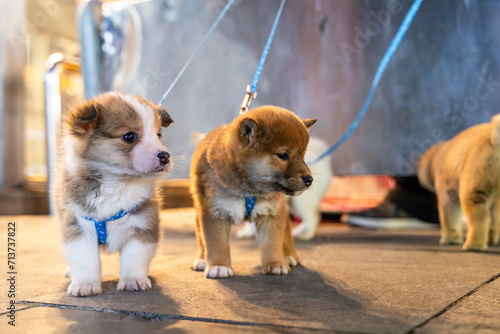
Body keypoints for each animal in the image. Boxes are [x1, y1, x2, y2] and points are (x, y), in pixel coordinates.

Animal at [54, 92, 174, 296]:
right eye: (129, 136)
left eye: (158, 135)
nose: (165, 156)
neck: (116, 183)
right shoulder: (78, 225)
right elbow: (85, 259)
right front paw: (85, 285)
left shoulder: (143, 223)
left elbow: (134, 257)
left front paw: (133, 280)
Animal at [189, 105, 314, 278]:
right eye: (282, 155)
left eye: (302, 155)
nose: (309, 180)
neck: (248, 191)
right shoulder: (214, 213)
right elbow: (216, 243)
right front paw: (219, 266)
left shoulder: (271, 213)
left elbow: (271, 243)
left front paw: (275, 263)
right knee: (202, 240)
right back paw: (202, 259)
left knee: (287, 232)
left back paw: (289, 255)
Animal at [418, 115, 500, 250]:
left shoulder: (446, 190)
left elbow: (449, 215)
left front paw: (450, 239)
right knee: (493, 216)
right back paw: (490, 239)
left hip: (477, 177)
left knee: (479, 214)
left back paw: (473, 245)